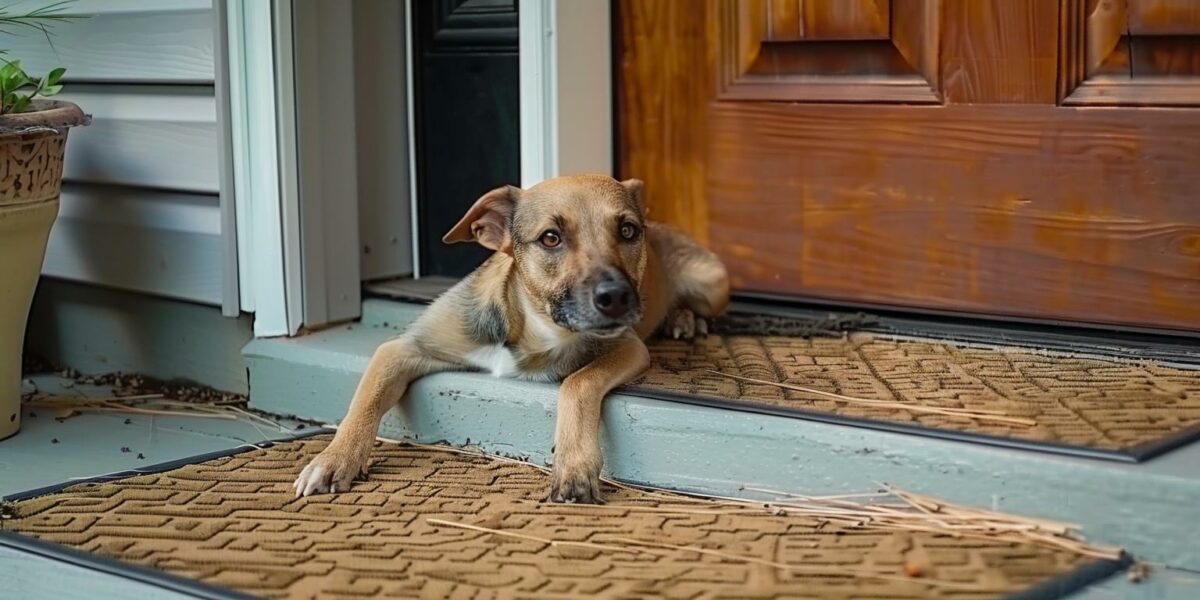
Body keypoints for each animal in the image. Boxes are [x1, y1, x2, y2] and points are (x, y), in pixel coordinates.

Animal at [297, 174, 729, 501]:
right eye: (551, 238)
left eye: (627, 231)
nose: (617, 297)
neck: (532, 329)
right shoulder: (404, 347)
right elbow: (364, 401)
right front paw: (334, 459)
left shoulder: (627, 346)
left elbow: (577, 382)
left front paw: (574, 464)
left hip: (713, 282)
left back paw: (685, 319)